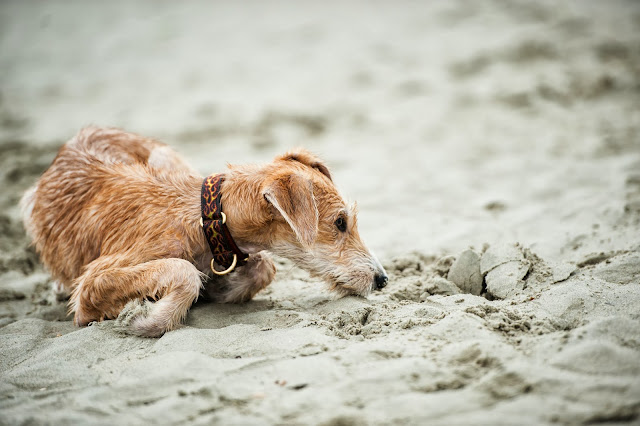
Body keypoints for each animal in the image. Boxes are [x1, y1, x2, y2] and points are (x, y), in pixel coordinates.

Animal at [22, 126, 388, 336]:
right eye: (340, 222)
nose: (382, 279)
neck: (206, 218)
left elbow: (262, 266)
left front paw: (217, 290)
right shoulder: (91, 284)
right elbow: (182, 271)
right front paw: (144, 319)